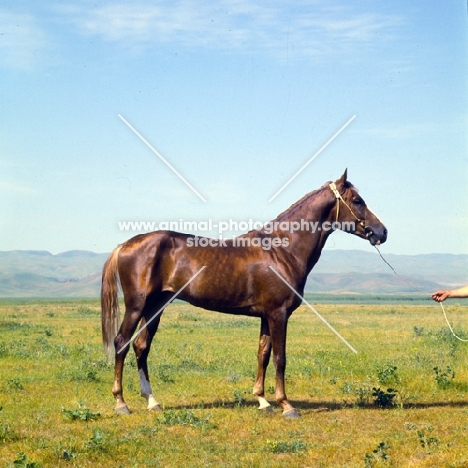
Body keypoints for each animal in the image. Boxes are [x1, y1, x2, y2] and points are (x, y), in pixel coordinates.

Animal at [100, 170, 386, 418]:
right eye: (357, 201)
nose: (382, 231)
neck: (281, 250)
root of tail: (125, 245)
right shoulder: (279, 314)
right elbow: (280, 358)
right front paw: (286, 405)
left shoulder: (266, 316)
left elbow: (263, 354)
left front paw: (262, 401)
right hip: (137, 306)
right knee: (121, 342)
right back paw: (121, 403)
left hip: (155, 307)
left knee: (141, 346)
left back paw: (152, 401)